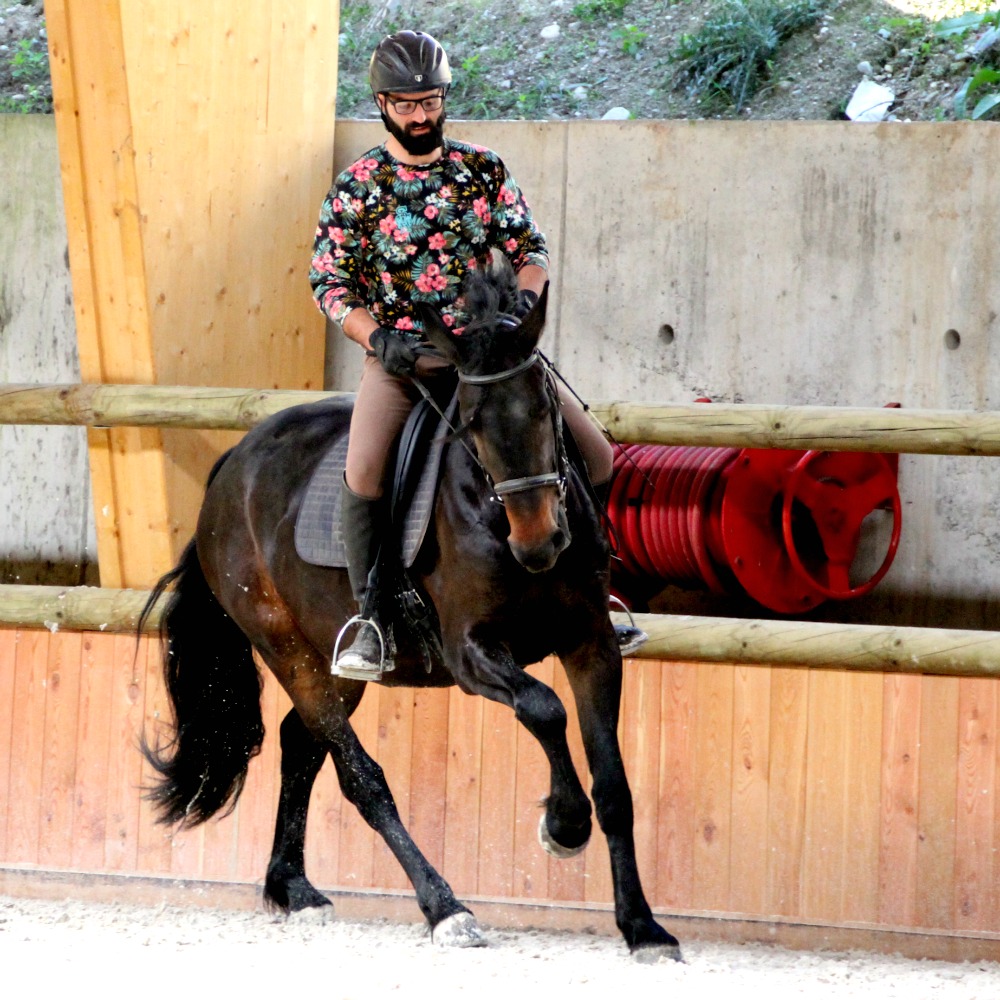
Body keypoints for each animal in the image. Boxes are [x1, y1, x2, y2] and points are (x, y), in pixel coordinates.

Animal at [139, 258, 680, 960]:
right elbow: (543, 707)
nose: (539, 542)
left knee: (302, 744)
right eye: (470, 420)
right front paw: (562, 825)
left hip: (332, 658)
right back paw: (444, 907)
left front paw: (642, 926)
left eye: (544, 406)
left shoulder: (590, 641)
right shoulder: (472, 652)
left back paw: (295, 888)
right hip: (284, 645)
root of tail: (234, 461)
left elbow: (613, 783)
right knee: (359, 775)